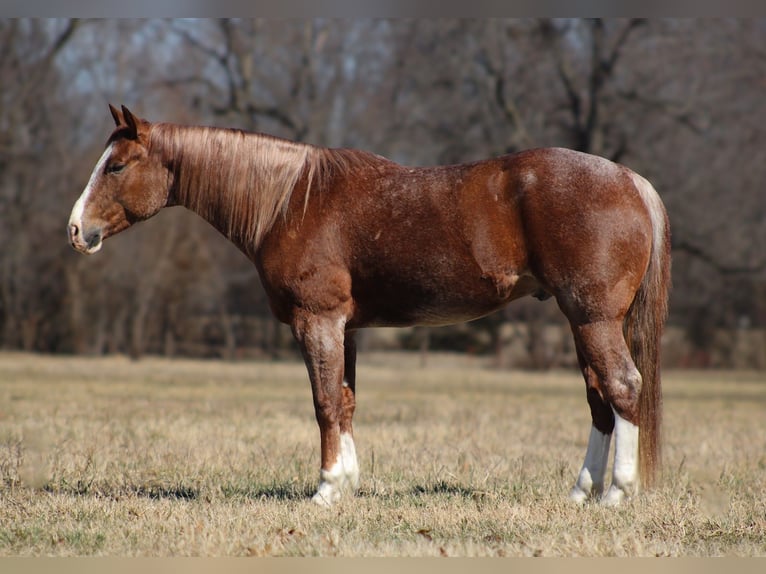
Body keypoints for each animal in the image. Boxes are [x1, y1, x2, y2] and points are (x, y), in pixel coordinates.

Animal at [68, 105, 670, 507]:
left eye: (116, 167)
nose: (76, 230)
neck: (291, 200)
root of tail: (629, 180)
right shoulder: (346, 328)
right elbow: (346, 401)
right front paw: (348, 486)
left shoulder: (318, 321)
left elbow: (323, 404)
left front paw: (325, 490)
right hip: (584, 323)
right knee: (599, 400)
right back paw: (581, 493)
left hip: (593, 320)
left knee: (623, 389)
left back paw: (616, 495)